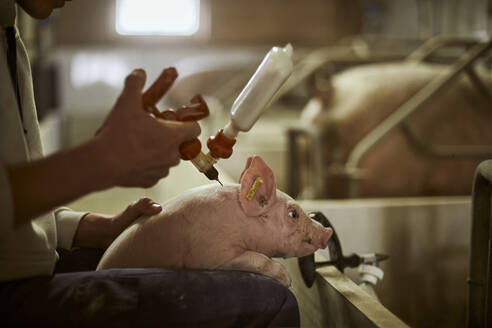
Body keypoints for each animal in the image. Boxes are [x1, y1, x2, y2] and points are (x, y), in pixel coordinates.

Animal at [96, 155, 332, 286]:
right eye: (293, 214)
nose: (327, 231)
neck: (241, 221)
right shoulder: (214, 252)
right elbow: (259, 259)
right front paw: (287, 282)